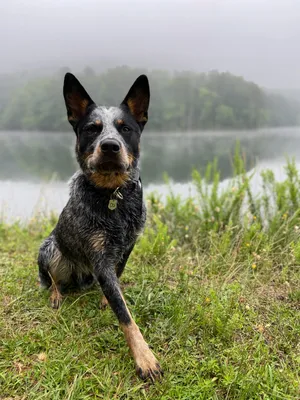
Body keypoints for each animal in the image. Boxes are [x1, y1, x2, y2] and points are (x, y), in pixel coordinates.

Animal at [38, 72, 163, 382]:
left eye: (125, 128)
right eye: (92, 129)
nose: (109, 146)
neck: (112, 196)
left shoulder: (128, 245)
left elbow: (117, 279)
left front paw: (109, 299)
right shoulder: (99, 256)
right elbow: (126, 318)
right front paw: (145, 358)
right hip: (50, 248)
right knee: (52, 278)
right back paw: (56, 295)